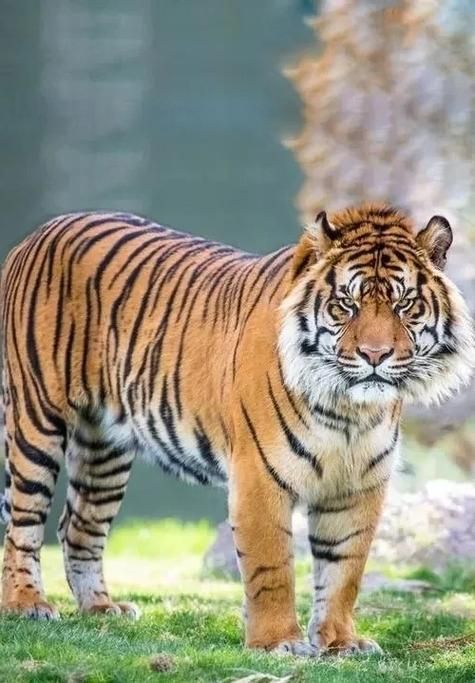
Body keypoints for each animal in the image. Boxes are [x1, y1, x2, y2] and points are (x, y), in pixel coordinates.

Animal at [0, 204, 473, 656]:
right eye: (345, 305)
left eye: (404, 305)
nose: (375, 355)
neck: (348, 411)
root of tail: (41, 232)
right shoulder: (260, 476)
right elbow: (272, 567)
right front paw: (278, 642)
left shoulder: (358, 487)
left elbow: (344, 571)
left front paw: (341, 642)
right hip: (35, 423)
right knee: (23, 522)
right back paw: (28, 605)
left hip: (104, 448)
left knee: (77, 525)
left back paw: (101, 608)